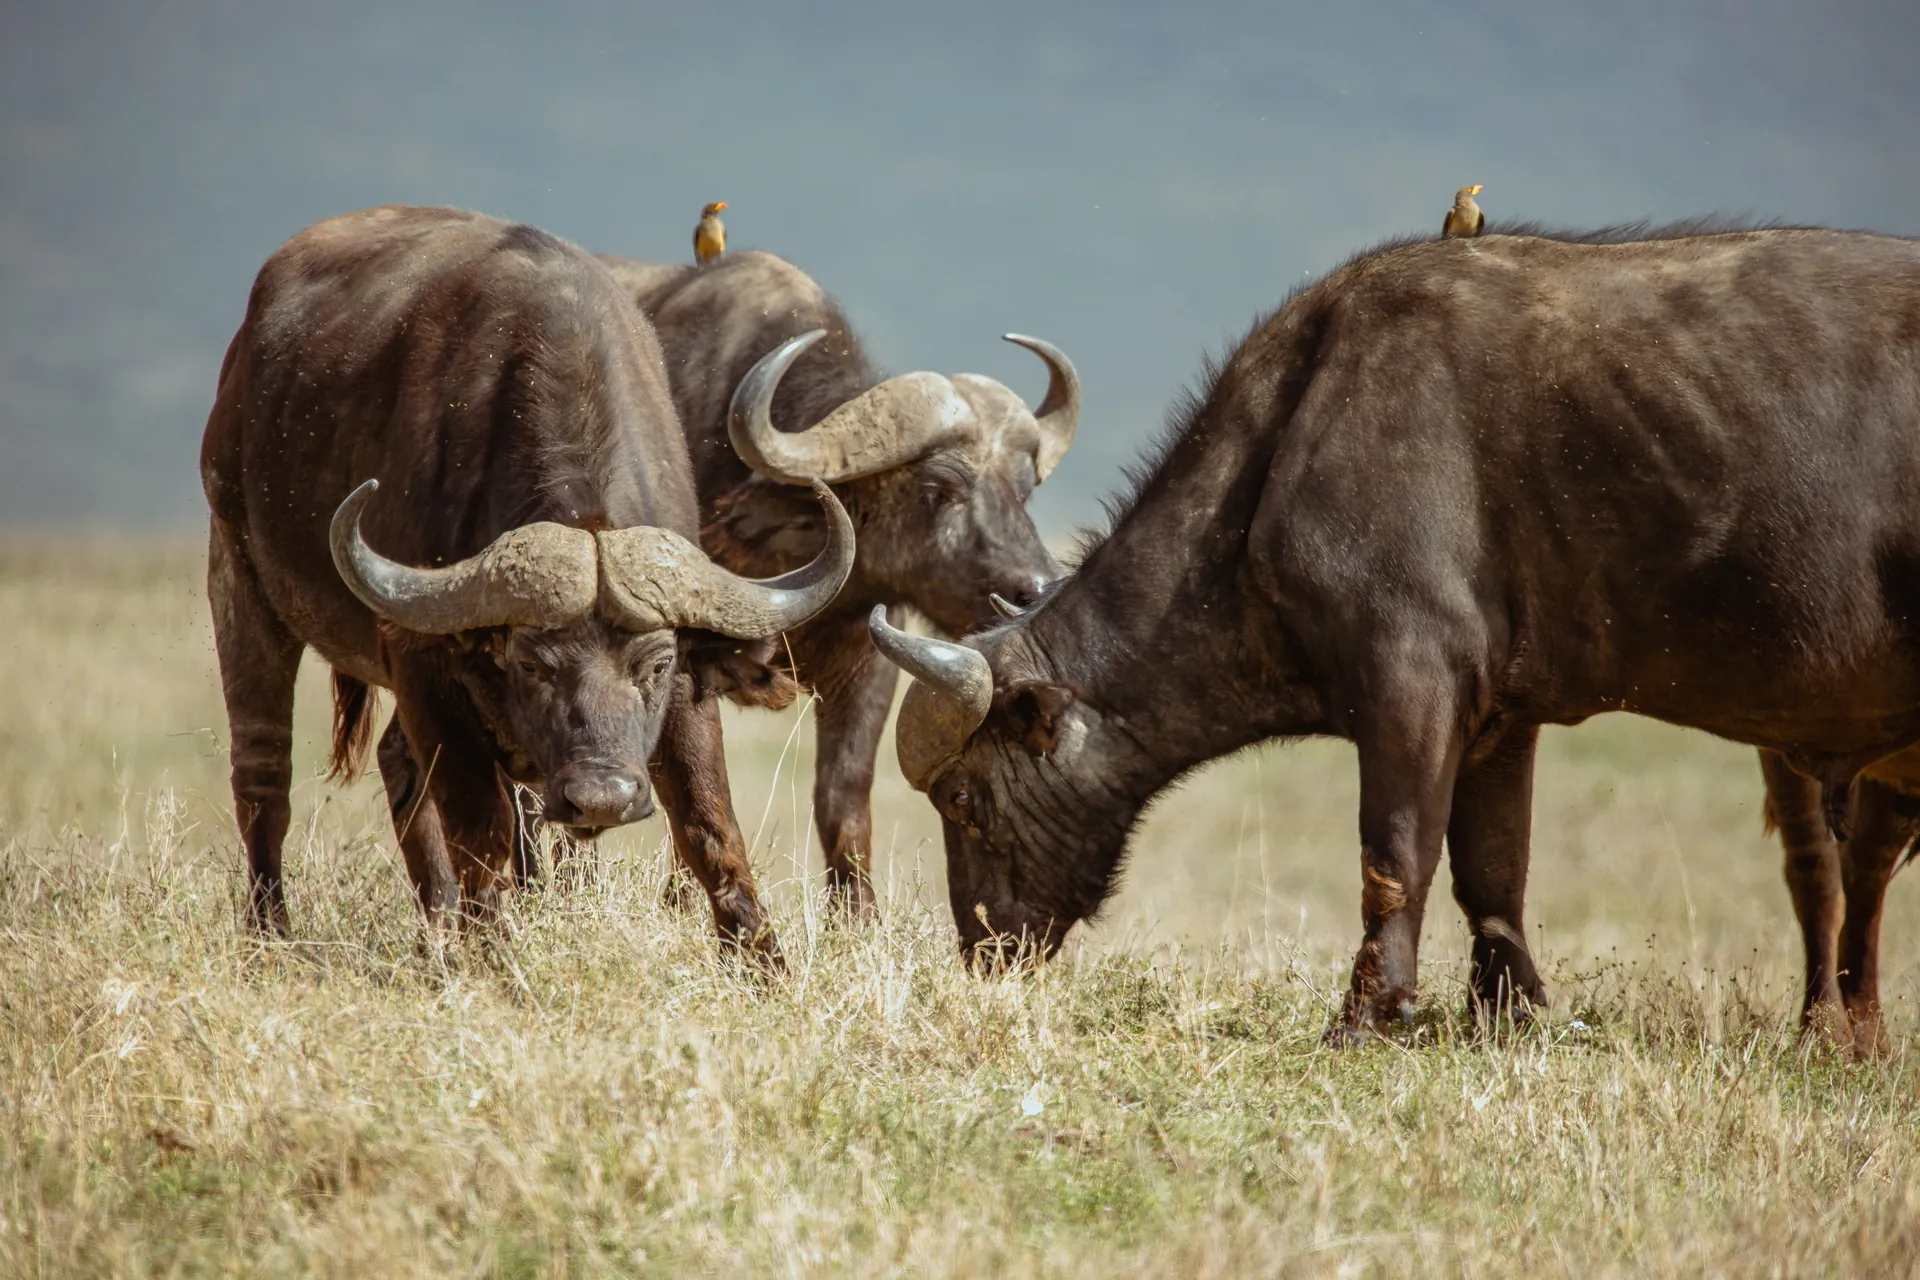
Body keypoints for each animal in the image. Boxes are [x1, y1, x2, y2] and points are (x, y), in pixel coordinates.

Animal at [201, 206, 852, 954]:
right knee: (263, 774)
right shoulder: (424, 666)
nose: (602, 797)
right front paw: (493, 955)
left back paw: (435, 932)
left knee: (396, 763)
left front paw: (760, 960)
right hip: (239, 577)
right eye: (534, 665)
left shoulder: (692, 678)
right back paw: (271, 933)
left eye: (655, 668)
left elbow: (709, 825)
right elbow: (480, 834)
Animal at [596, 249, 1079, 913]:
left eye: (1024, 490)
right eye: (937, 489)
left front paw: (858, 915)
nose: (1035, 587)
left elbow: (843, 799)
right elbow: (694, 787)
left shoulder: (870, 670)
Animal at [870, 222, 1920, 1039]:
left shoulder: (1411, 683)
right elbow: (1492, 871)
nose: (983, 948)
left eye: (962, 798)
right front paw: (1509, 1015)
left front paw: (1368, 1015)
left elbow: (1398, 852)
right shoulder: (1502, 720)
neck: (1286, 444)